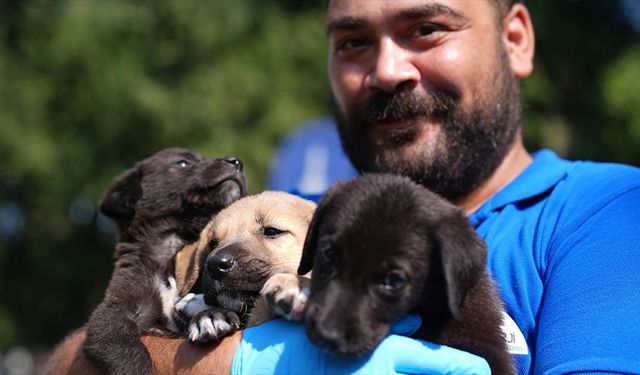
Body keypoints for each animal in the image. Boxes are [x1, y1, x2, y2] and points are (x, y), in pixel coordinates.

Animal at [82, 148, 248, 375]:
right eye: (183, 163)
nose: (237, 162)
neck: (173, 252)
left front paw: (212, 316)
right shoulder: (114, 311)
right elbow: (126, 351)